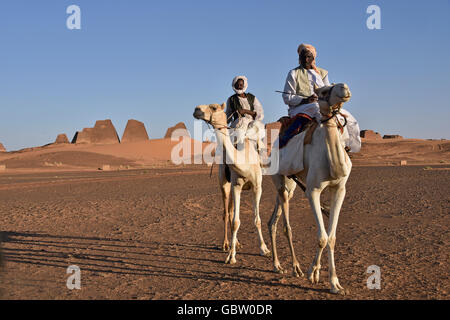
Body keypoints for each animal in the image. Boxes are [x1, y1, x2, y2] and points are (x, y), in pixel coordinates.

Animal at [192, 104, 268, 264]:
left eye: (214, 107)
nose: (196, 109)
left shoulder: (257, 187)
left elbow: (257, 220)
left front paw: (264, 249)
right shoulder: (236, 186)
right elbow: (235, 222)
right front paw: (231, 256)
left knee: (232, 211)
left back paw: (236, 243)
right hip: (224, 184)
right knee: (226, 213)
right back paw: (226, 244)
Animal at [268, 83, 354, 296]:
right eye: (323, 91)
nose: (344, 87)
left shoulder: (339, 189)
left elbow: (331, 237)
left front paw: (334, 283)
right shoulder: (313, 191)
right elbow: (322, 237)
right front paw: (311, 273)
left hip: (290, 184)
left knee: (273, 220)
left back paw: (277, 264)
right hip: (279, 178)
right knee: (285, 226)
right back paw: (294, 267)